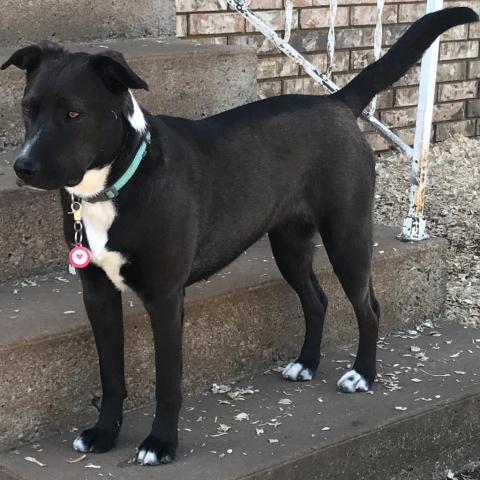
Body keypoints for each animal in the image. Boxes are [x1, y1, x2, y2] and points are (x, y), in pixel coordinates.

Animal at [1, 7, 478, 464]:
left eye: (74, 113)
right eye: (28, 108)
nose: (22, 167)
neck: (116, 182)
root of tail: (337, 103)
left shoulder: (165, 298)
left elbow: (167, 382)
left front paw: (161, 443)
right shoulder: (97, 294)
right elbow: (111, 374)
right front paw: (104, 434)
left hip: (347, 236)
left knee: (369, 306)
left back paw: (363, 374)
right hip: (289, 244)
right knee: (316, 299)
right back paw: (306, 364)